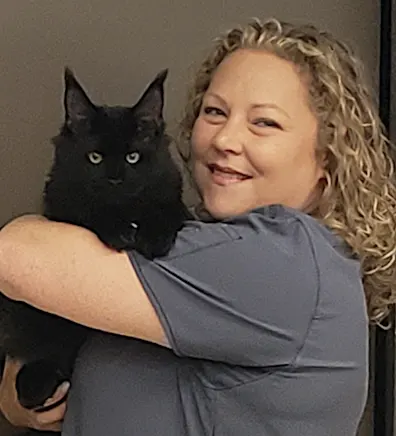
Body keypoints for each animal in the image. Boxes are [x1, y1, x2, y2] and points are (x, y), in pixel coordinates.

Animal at [0, 67, 190, 432]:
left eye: (133, 157)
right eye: (95, 157)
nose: (115, 180)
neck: (126, 211)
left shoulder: (173, 199)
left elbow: (166, 211)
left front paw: (154, 237)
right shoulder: (63, 207)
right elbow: (91, 214)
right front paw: (119, 232)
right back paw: (34, 384)